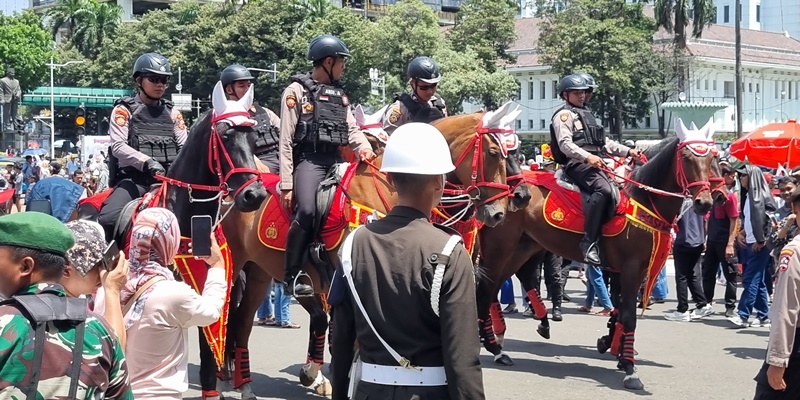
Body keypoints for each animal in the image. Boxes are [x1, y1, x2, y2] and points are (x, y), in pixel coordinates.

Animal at [476, 119, 720, 390]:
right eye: (686, 158)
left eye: (712, 157)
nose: (705, 202)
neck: (643, 200)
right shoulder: (632, 267)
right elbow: (628, 315)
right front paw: (630, 369)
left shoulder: (632, 269)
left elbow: (619, 309)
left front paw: (614, 347)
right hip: (500, 249)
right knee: (485, 290)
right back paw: (495, 346)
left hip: (523, 248)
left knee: (502, 285)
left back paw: (508, 338)